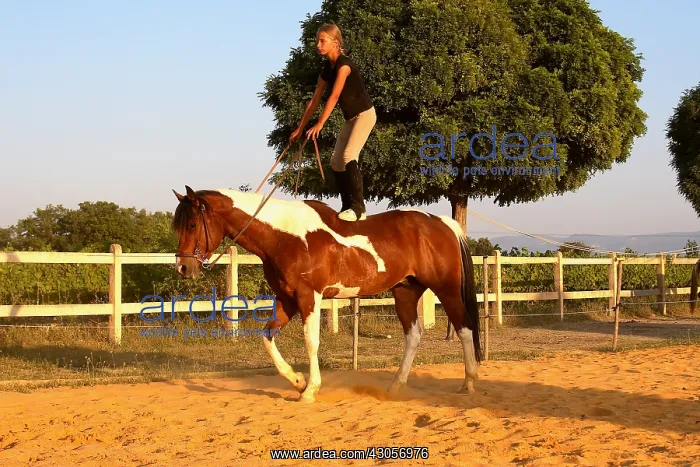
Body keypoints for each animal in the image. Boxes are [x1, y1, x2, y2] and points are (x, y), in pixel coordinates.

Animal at [171, 185, 482, 403]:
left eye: (192, 224)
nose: (183, 267)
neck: (284, 235)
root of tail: (442, 223)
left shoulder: (309, 297)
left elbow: (311, 342)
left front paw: (310, 389)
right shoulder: (287, 300)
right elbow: (267, 336)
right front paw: (297, 381)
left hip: (446, 289)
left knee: (464, 328)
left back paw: (469, 382)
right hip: (405, 292)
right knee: (414, 336)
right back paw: (396, 386)